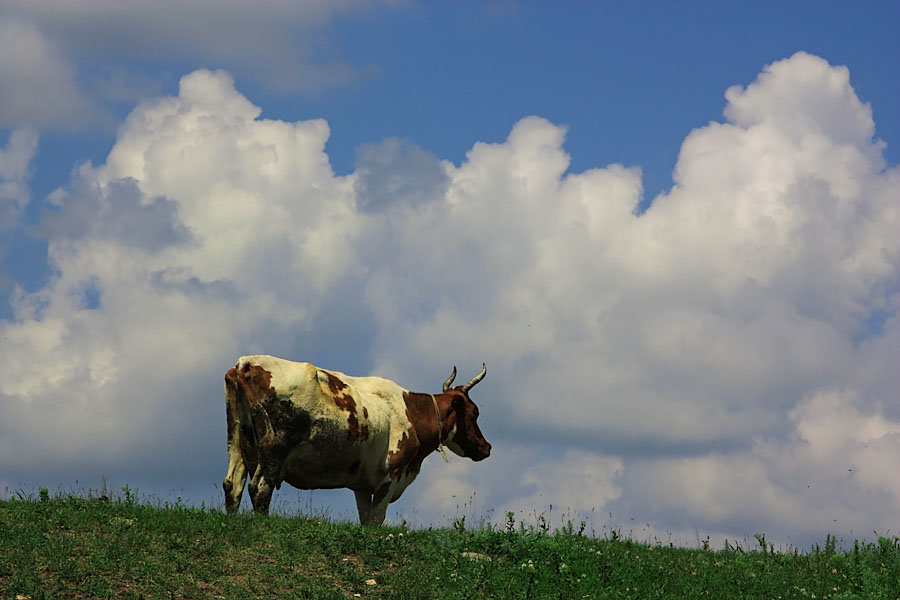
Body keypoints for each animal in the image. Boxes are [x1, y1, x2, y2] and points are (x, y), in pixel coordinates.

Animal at [224, 356, 492, 524]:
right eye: (474, 412)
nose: (486, 447)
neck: (410, 412)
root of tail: (246, 363)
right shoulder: (391, 474)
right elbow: (376, 520)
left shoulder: (361, 484)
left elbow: (365, 519)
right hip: (274, 450)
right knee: (259, 488)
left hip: (237, 442)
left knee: (233, 484)